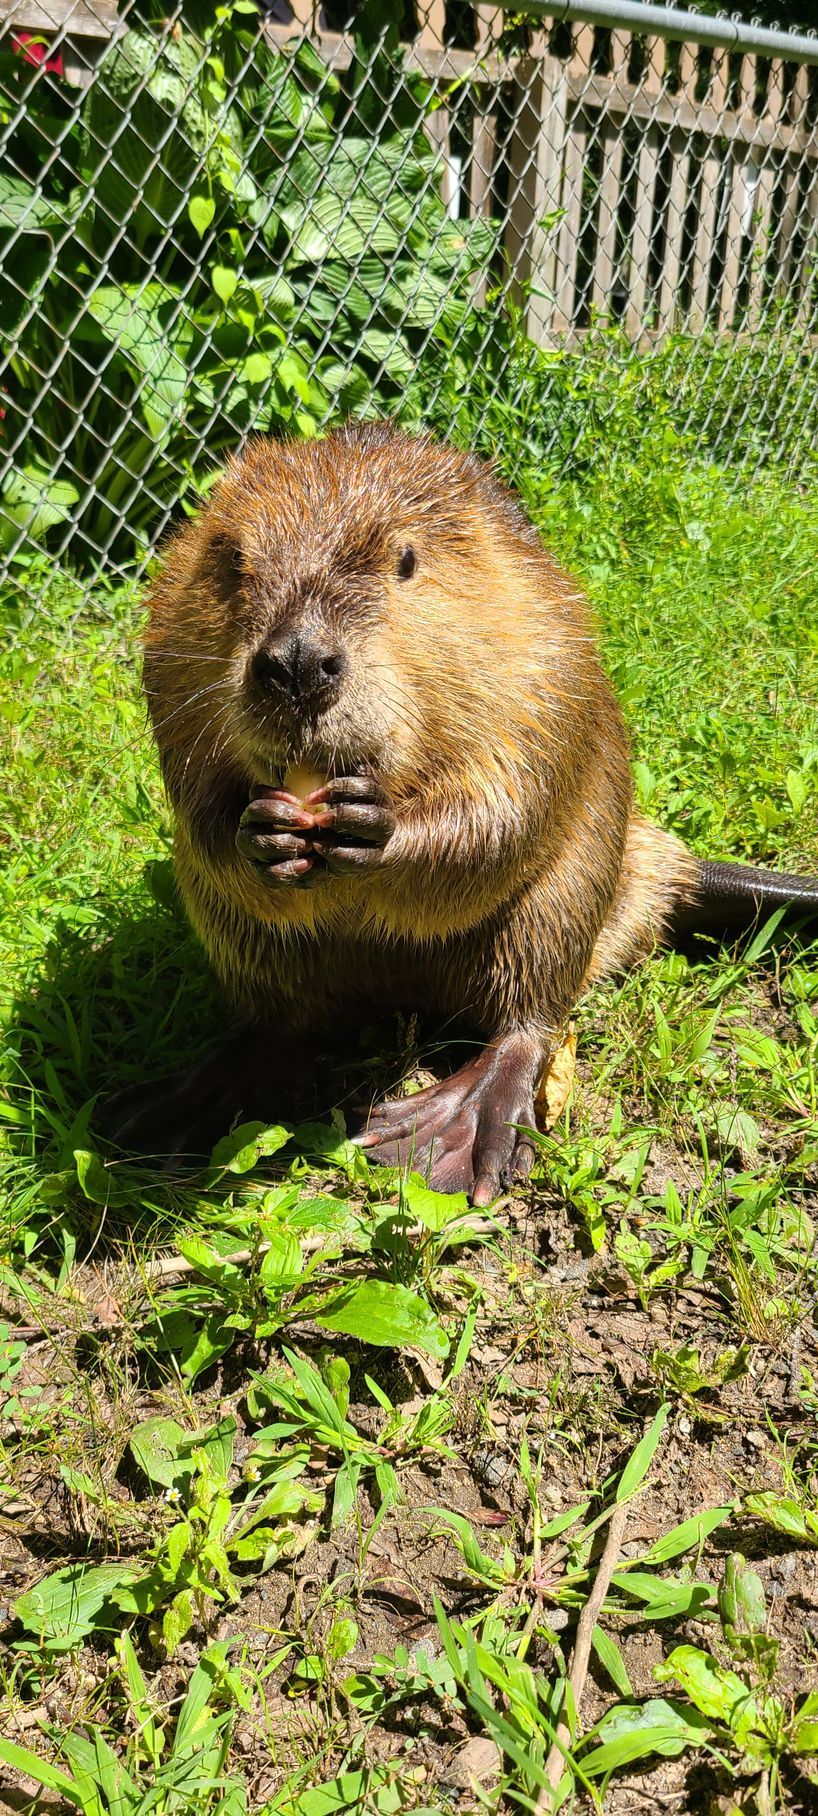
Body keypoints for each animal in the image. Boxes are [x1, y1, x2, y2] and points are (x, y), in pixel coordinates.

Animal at [113, 417, 818, 1198]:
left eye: (406, 561)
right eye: (232, 560)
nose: (297, 663)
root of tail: (670, 879)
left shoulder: (539, 643)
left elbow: (509, 808)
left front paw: (371, 831)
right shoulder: (169, 657)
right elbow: (196, 803)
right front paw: (263, 835)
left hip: (571, 891)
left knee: (531, 1012)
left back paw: (445, 1130)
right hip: (234, 937)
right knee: (280, 1019)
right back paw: (167, 1113)